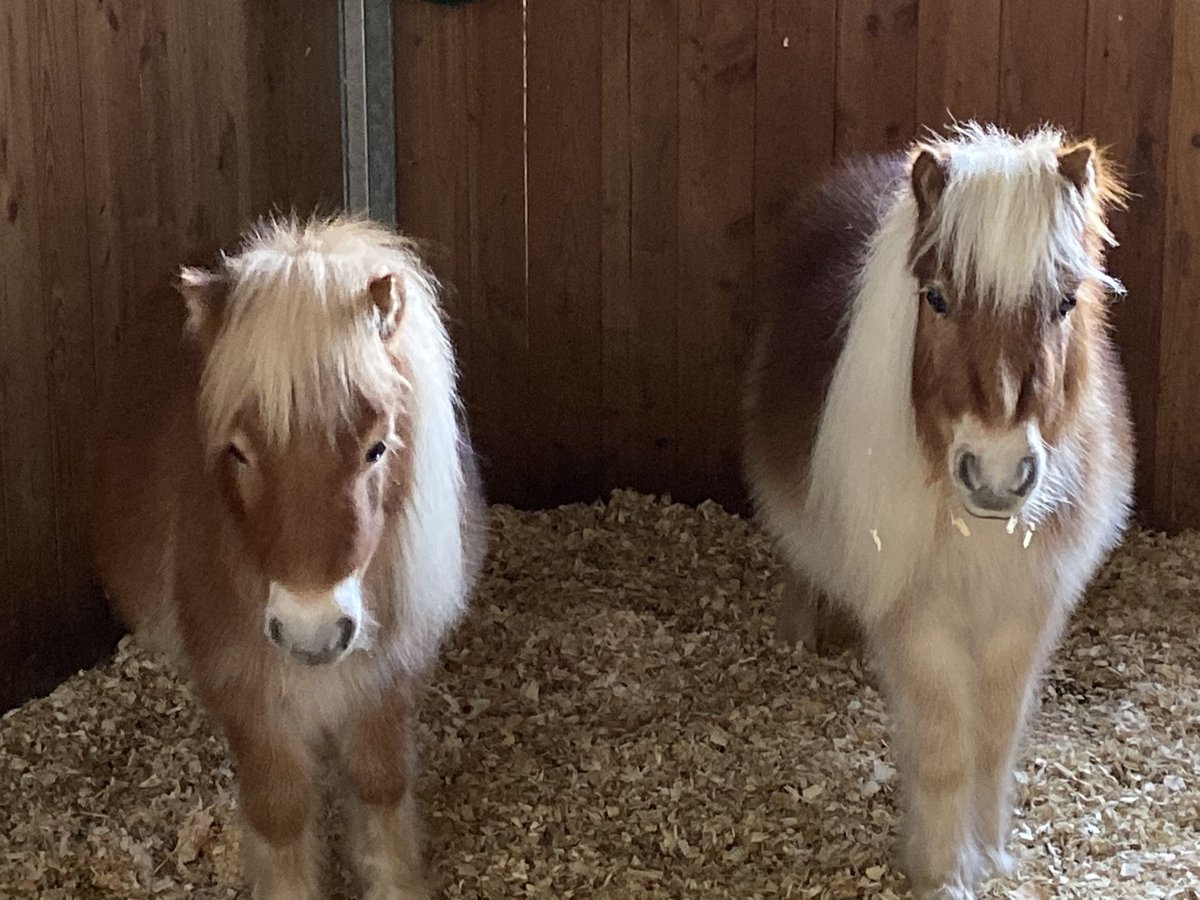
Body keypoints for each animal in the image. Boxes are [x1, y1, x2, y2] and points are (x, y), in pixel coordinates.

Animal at [87, 218, 487, 900]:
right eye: (238, 451)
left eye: (376, 448)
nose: (312, 633)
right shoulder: (247, 696)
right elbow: (279, 815)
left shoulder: (387, 681)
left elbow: (381, 789)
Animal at [739, 121, 1132, 900]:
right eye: (938, 299)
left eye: (1065, 302)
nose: (998, 476)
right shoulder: (918, 618)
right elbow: (946, 747)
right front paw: (943, 871)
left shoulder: (1025, 610)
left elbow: (996, 741)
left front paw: (995, 855)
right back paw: (799, 633)